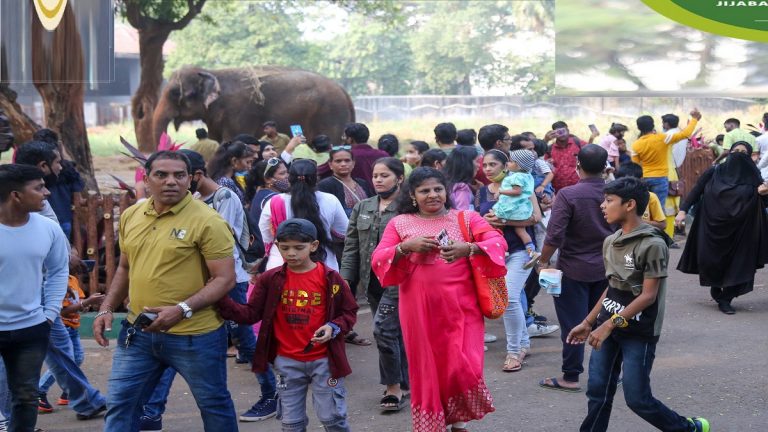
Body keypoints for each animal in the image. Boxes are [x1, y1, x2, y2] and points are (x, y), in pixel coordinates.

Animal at [154, 66, 356, 147]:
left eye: (176, 93)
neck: (212, 72)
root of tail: (344, 92)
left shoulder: (239, 112)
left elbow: (232, 140)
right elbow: (213, 140)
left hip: (330, 115)